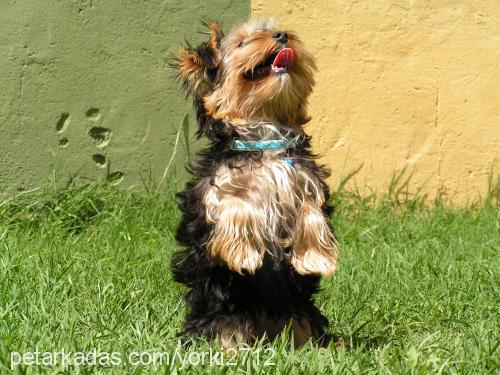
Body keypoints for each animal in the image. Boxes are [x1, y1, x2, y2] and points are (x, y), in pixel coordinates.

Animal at [172, 19, 340, 350]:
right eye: (242, 43)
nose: (282, 35)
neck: (265, 132)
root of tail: (265, 330)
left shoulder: (304, 179)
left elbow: (311, 211)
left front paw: (318, 258)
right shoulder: (215, 186)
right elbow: (235, 203)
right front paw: (243, 254)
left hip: (301, 311)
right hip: (221, 311)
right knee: (224, 330)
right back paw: (231, 351)